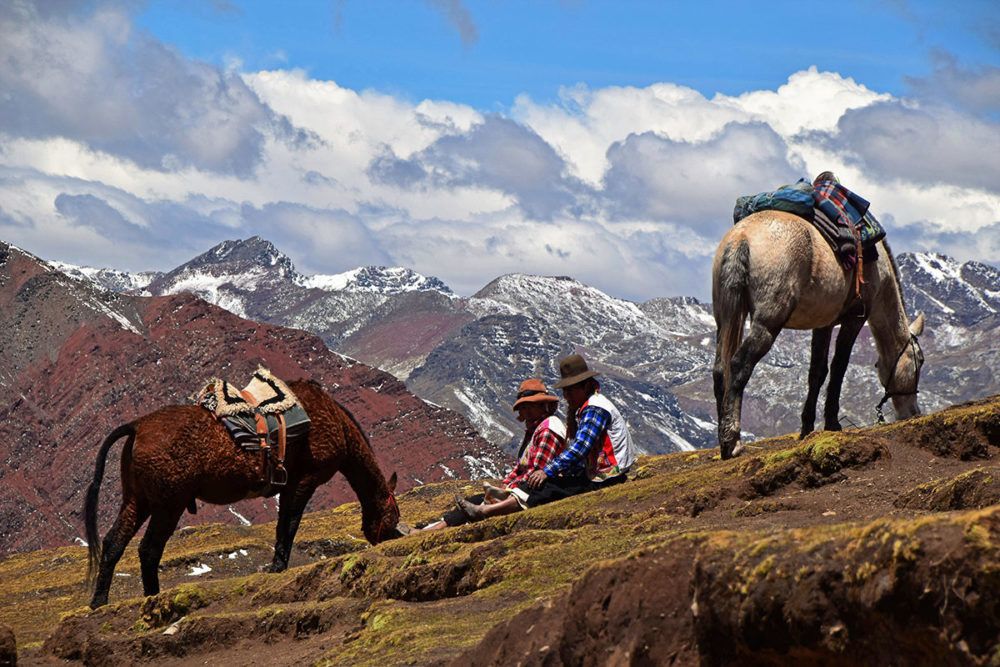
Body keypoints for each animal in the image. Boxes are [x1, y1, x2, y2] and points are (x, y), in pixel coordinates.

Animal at [83, 378, 402, 608]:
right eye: (394, 515)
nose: (391, 538)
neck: (333, 420)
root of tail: (137, 426)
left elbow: (285, 524)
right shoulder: (302, 483)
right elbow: (288, 524)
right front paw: (277, 566)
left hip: (138, 500)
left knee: (113, 543)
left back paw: (100, 601)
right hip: (167, 505)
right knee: (148, 549)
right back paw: (153, 596)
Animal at [716, 213, 924, 460]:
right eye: (920, 361)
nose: (914, 412)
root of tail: (741, 237)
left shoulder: (823, 324)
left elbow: (817, 372)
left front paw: (807, 427)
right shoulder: (855, 317)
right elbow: (838, 367)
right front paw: (833, 423)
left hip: (725, 318)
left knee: (720, 370)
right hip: (767, 322)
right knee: (739, 364)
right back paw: (732, 442)